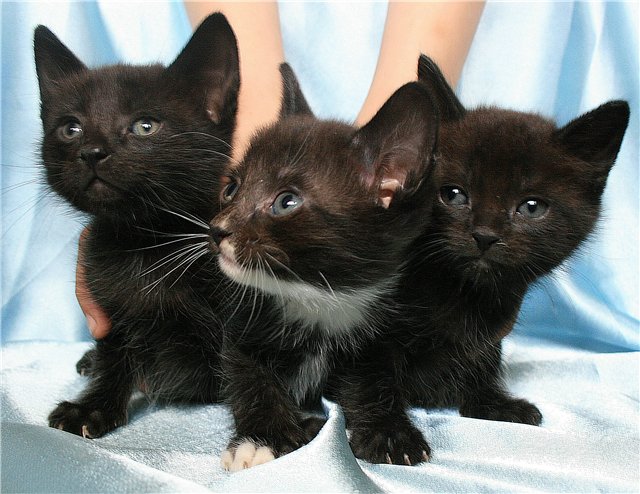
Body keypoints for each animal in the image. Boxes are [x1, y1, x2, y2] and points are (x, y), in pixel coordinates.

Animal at [35, 13, 240, 438]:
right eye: (70, 128)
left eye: (145, 126)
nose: (92, 152)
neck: (145, 244)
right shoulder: (108, 305)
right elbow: (116, 357)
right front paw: (94, 407)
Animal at [208, 63, 440, 471]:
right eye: (231, 188)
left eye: (286, 202)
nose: (218, 229)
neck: (316, 297)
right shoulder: (241, 325)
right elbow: (249, 379)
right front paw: (262, 438)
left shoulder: (376, 335)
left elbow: (376, 381)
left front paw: (389, 431)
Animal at [330, 55, 630, 465]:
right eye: (453, 194)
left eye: (531, 207)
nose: (485, 235)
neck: (460, 294)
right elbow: (371, 378)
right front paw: (389, 435)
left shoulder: (490, 335)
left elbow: (483, 361)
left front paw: (494, 402)